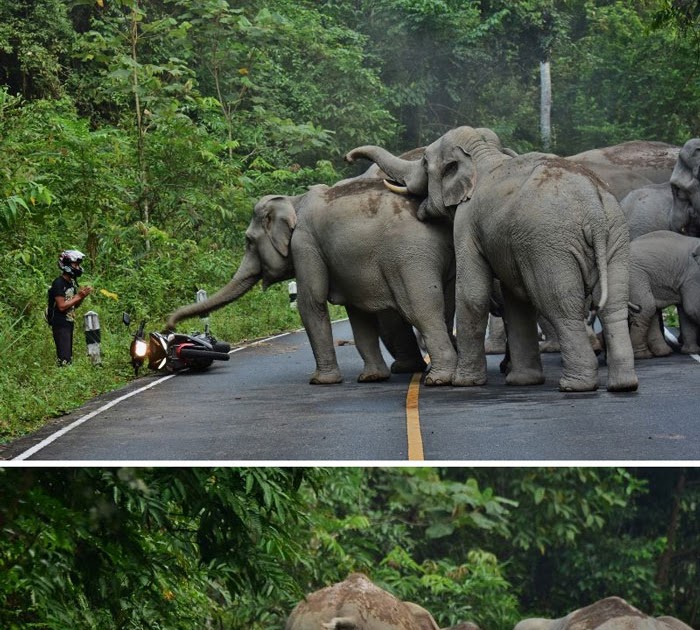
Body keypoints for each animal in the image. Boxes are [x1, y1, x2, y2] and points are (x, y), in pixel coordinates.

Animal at [167, 179, 456, 386]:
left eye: (248, 240)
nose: (169, 325)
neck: (293, 201)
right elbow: (358, 314)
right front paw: (371, 378)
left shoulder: (305, 245)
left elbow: (310, 303)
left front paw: (320, 381)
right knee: (447, 307)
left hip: (410, 258)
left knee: (421, 311)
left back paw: (438, 379)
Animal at [348, 126, 636, 392]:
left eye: (425, 163)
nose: (348, 157)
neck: (481, 154)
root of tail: (593, 206)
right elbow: (515, 300)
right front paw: (522, 381)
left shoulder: (466, 221)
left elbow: (472, 293)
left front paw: (463, 382)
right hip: (616, 235)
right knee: (614, 304)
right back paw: (622, 385)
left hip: (551, 245)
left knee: (560, 305)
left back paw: (575, 385)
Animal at [628, 232, 700, 360]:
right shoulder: (693, 275)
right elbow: (693, 308)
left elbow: (686, 311)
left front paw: (691, 351)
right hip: (635, 276)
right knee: (646, 308)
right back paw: (643, 356)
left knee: (651, 310)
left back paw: (663, 352)